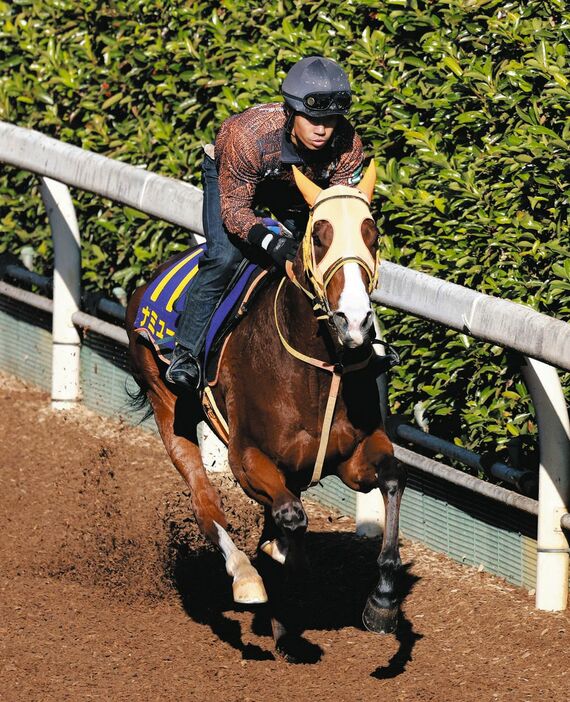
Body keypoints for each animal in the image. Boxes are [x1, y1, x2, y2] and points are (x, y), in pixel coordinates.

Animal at [126, 162, 406, 664]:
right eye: (320, 235)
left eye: (372, 234)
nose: (355, 321)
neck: (316, 366)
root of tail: (145, 284)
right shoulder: (247, 458)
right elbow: (292, 518)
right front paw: (283, 582)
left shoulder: (352, 455)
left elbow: (392, 478)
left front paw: (383, 602)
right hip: (166, 403)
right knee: (204, 500)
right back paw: (248, 577)